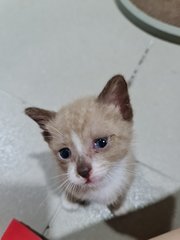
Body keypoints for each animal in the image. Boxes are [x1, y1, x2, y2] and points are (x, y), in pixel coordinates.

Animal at [25, 75, 135, 214]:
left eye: (101, 142)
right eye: (64, 153)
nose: (84, 172)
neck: (98, 189)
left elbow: (119, 194)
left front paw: (119, 208)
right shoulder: (64, 175)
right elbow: (70, 186)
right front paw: (70, 201)